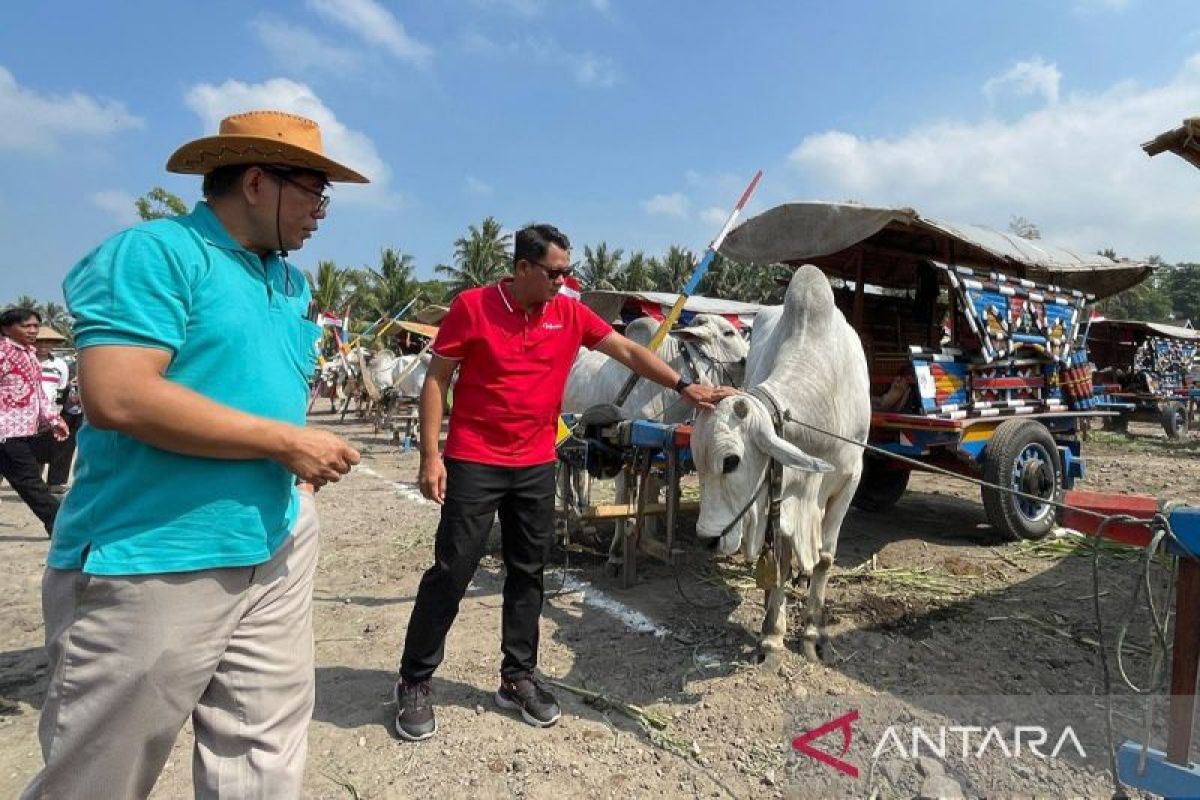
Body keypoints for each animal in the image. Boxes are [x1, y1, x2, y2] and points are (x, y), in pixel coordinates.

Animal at [691, 266, 868, 666]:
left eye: (731, 461)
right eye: (696, 462)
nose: (707, 539)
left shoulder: (851, 480)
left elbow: (824, 558)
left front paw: (813, 634)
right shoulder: (781, 490)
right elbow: (781, 563)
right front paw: (772, 635)